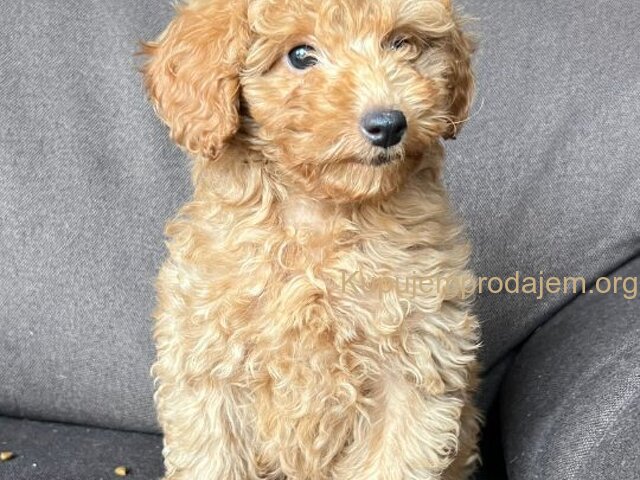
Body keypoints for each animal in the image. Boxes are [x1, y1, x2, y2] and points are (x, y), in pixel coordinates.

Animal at [143, 0, 480, 478]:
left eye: (401, 43)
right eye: (300, 56)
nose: (388, 124)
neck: (319, 213)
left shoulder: (417, 356)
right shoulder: (208, 361)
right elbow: (213, 457)